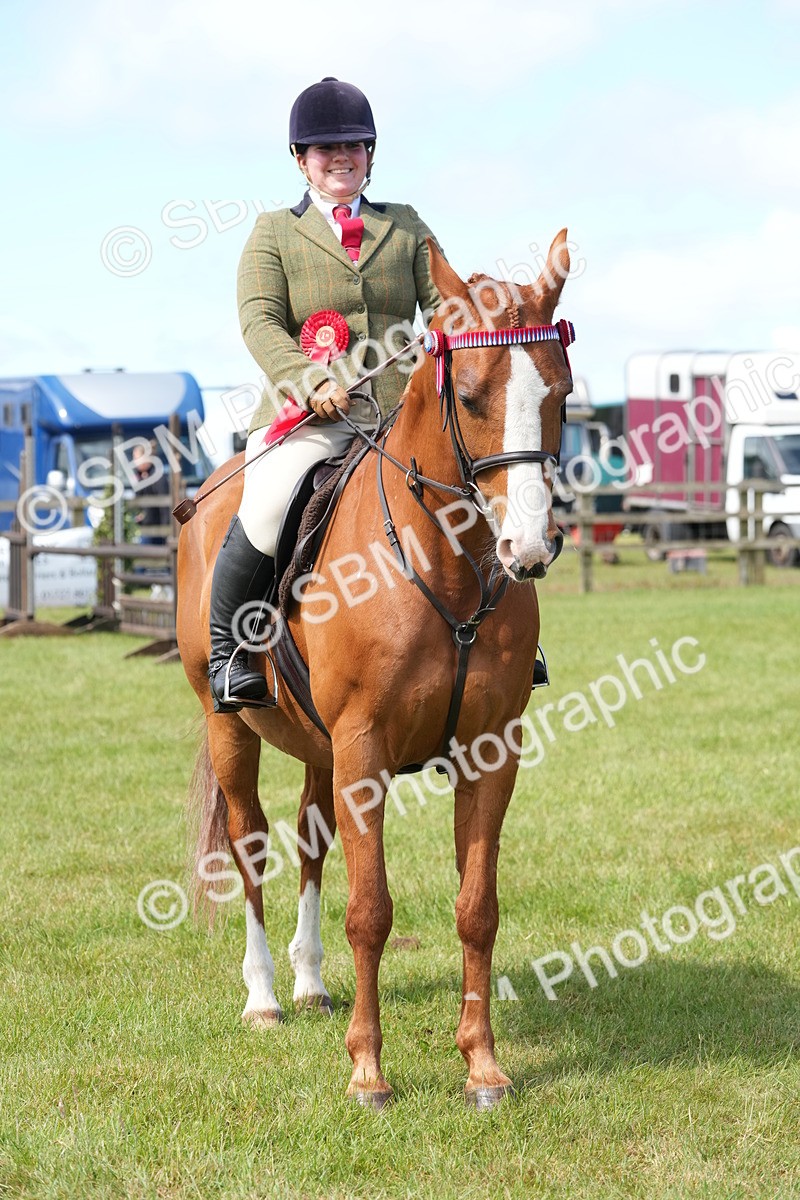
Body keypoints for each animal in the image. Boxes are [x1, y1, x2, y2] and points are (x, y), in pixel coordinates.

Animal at [176, 231, 574, 1110]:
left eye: (561, 395)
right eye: (470, 396)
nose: (528, 549)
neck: (446, 567)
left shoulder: (489, 753)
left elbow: (476, 907)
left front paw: (482, 1065)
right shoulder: (364, 750)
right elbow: (371, 910)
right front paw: (367, 1072)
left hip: (320, 748)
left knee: (311, 841)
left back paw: (310, 983)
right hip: (230, 728)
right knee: (253, 846)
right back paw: (264, 997)